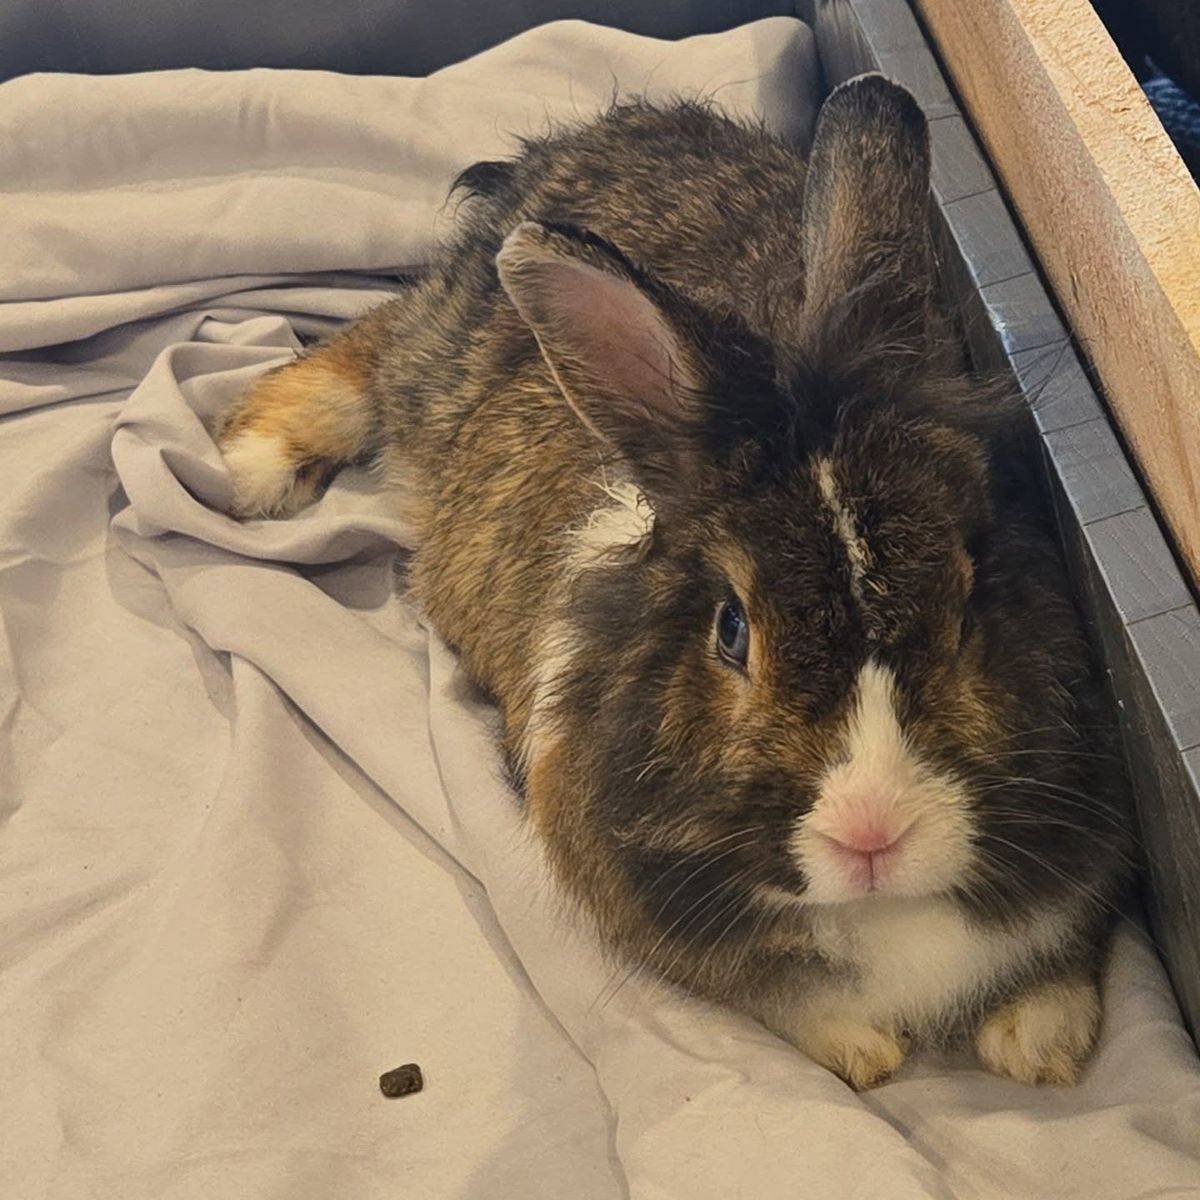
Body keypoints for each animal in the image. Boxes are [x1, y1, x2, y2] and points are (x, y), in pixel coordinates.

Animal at [216, 74, 1135, 1090]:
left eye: (971, 602)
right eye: (731, 629)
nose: (872, 833)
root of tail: (580, 142)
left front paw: (1040, 1044)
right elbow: (790, 1004)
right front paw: (864, 1052)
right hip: (430, 364)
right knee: (373, 344)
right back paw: (253, 463)